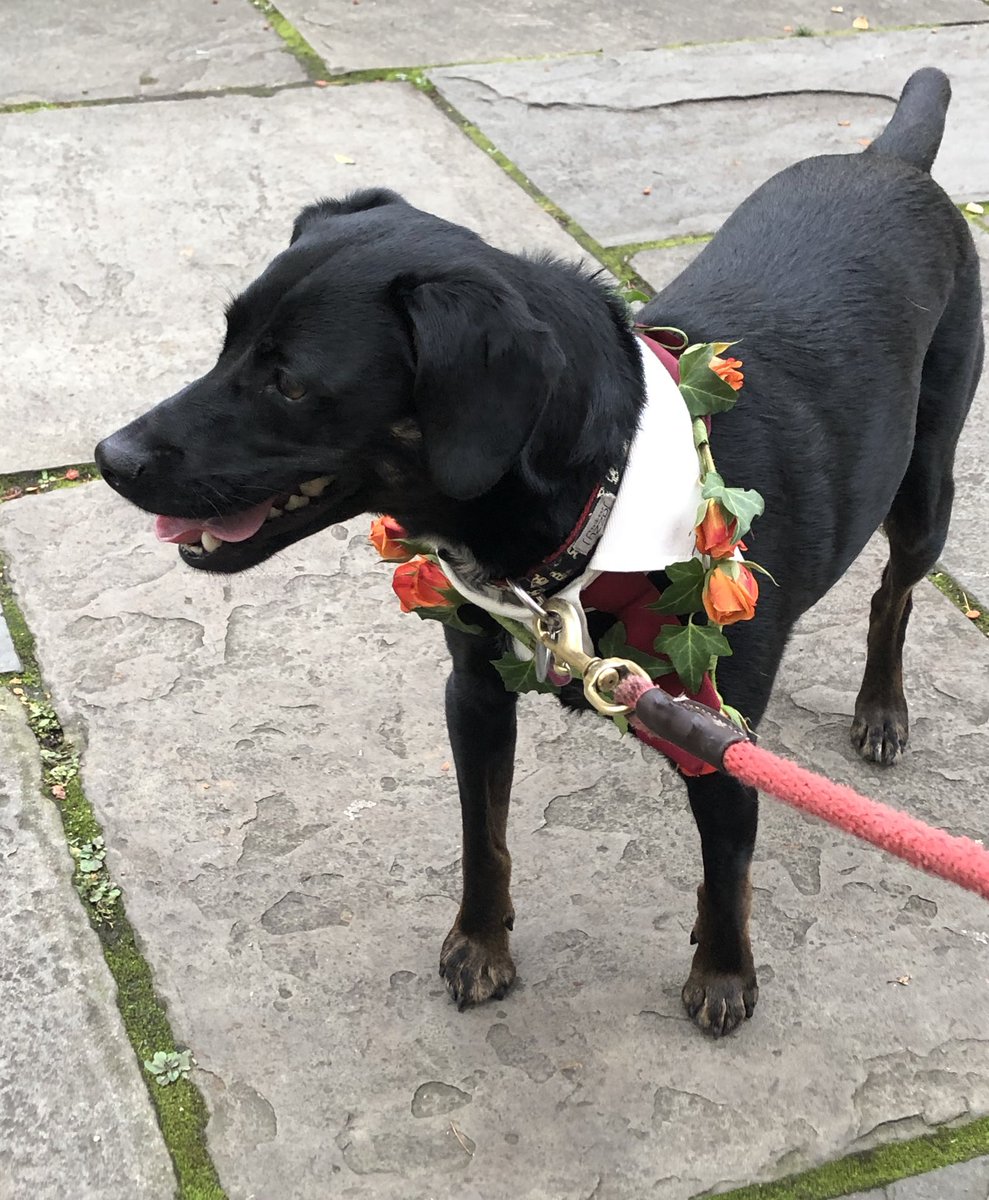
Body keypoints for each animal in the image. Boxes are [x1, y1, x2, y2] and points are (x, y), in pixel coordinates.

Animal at [96, 68, 983, 1036]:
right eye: (225, 341)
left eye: (289, 383)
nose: (111, 457)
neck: (603, 497)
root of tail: (891, 158)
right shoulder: (476, 692)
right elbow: (481, 838)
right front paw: (481, 943)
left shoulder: (720, 742)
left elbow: (726, 869)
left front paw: (722, 972)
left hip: (925, 486)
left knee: (894, 593)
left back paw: (881, 706)